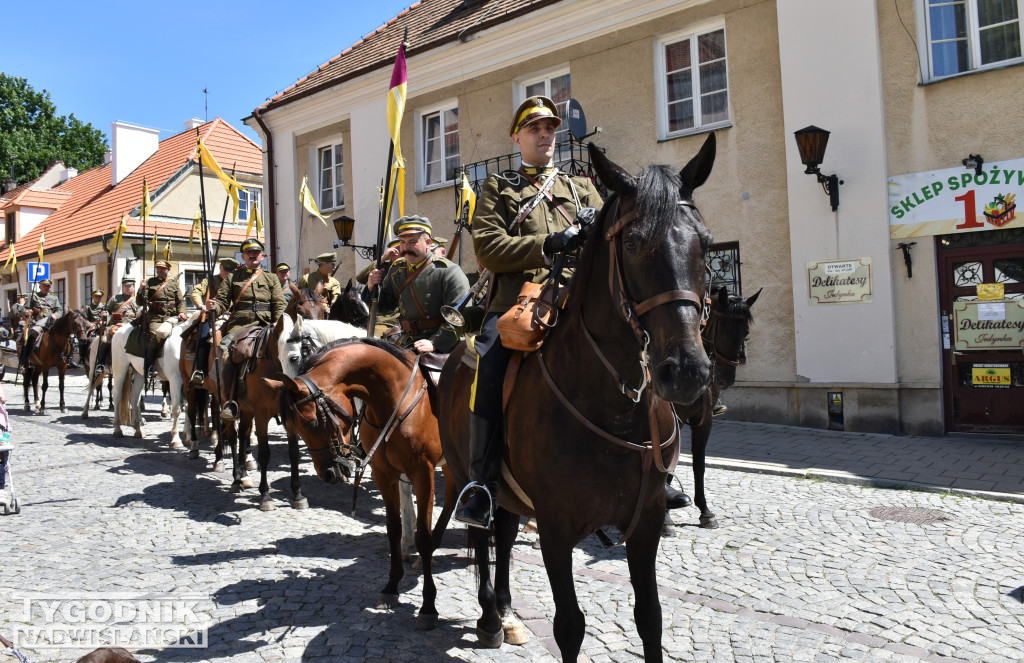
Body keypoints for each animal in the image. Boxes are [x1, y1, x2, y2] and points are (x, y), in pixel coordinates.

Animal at [266, 340, 454, 631]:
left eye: (311, 421)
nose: (328, 473)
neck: (394, 401)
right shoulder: (383, 473)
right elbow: (393, 528)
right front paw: (391, 586)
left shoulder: (423, 473)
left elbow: (422, 536)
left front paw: (428, 606)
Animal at [436, 137, 716, 659]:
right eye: (633, 243)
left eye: (706, 243)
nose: (687, 371)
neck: (616, 404)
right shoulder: (555, 526)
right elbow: (569, 626)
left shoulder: (645, 523)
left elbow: (651, 617)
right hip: (465, 474)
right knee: (482, 535)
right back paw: (489, 617)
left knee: (505, 534)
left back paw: (507, 611)